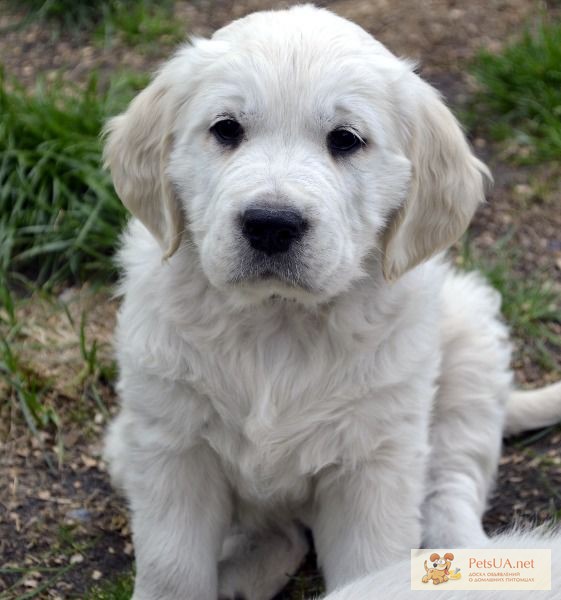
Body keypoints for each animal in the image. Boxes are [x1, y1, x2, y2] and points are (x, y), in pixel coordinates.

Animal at [101, 5, 560, 600]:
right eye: (226, 129)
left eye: (345, 139)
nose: (271, 225)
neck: (276, 321)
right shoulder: (171, 446)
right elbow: (173, 569)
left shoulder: (374, 465)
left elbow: (375, 569)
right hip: (126, 442)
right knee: (280, 531)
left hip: (469, 350)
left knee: (451, 485)